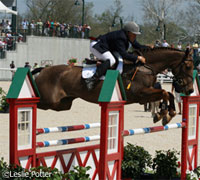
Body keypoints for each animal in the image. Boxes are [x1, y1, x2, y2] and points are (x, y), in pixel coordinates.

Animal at [32, 47, 194, 125]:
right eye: (187, 66)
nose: (190, 89)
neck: (145, 67)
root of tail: (44, 69)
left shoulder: (146, 94)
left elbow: (168, 94)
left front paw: (166, 114)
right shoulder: (140, 94)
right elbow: (165, 93)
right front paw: (162, 115)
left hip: (62, 104)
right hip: (49, 101)